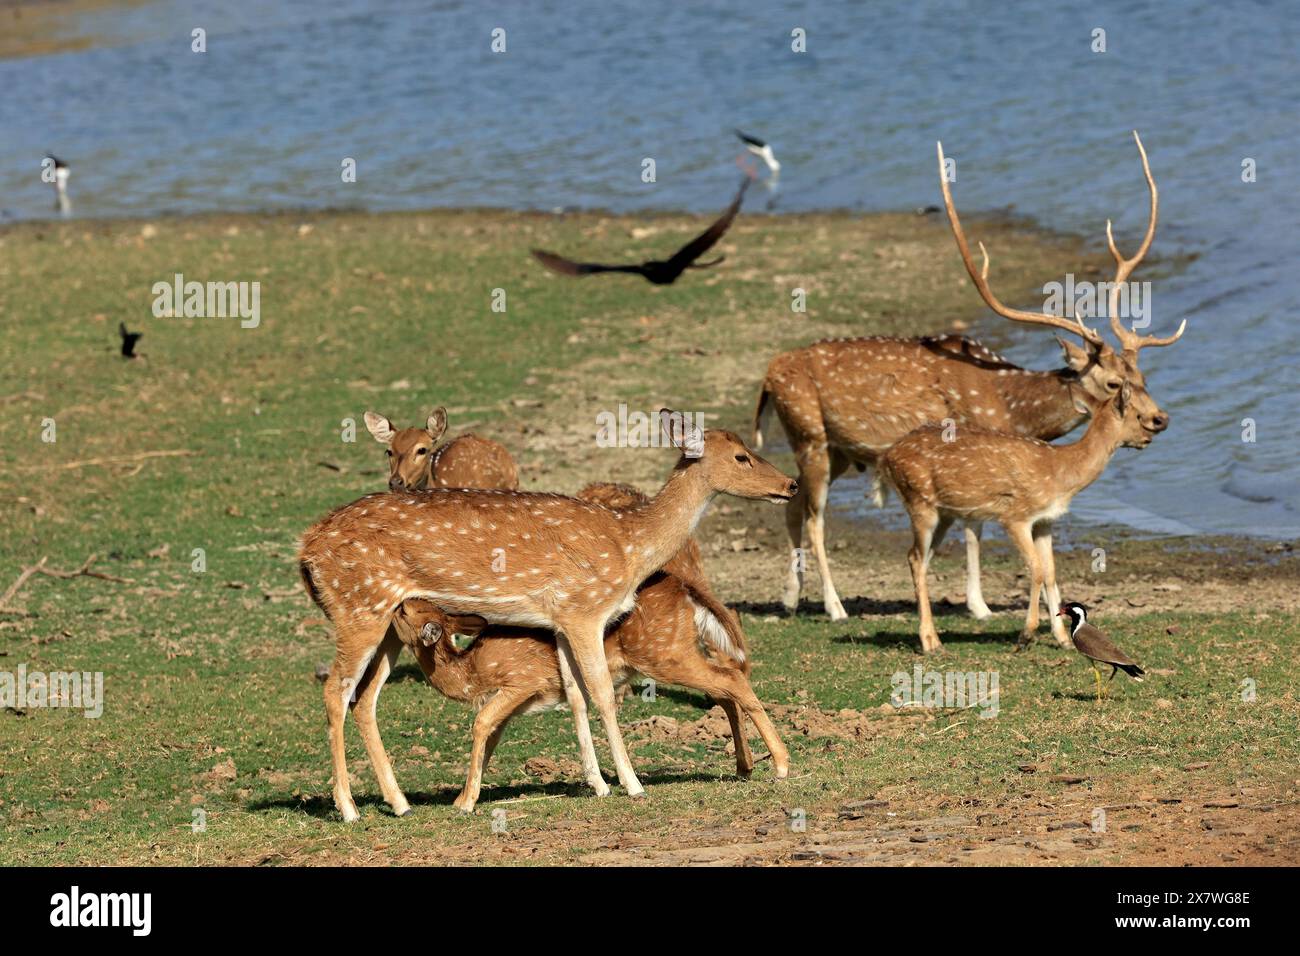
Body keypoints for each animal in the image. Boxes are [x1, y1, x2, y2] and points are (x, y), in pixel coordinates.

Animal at [384, 481, 785, 811]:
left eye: (405, 610)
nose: (393, 603)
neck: (470, 672)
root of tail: (688, 593)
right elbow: (493, 734)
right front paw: (463, 796)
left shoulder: (521, 681)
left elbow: (482, 723)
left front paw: (464, 802)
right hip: (679, 650)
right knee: (725, 685)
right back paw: (745, 766)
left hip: (664, 653)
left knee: (731, 679)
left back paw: (779, 765)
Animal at [754, 132, 1190, 621]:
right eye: (1115, 385)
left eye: (1141, 374)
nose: (1160, 419)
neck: (1011, 405)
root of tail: (768, 378)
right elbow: (974, 529)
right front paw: (980, 606)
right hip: (809, 435)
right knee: (814, 517)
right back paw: (834, 606)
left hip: (837, 449)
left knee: (792, 504)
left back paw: (791, 598)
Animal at [878, 382, 1154, 658]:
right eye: (1138, 416)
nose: (1148, 438)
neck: (1060, 474)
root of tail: (888, 457)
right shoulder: (1015, 516)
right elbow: (1036, 569)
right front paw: (1026, 635)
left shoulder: (1045, 521)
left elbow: (1050, 572)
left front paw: (1063, 639)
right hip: (919, 501)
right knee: (915, 557)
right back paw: (929, 642)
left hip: (944, 513)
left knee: (920, 559)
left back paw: (932, 638)